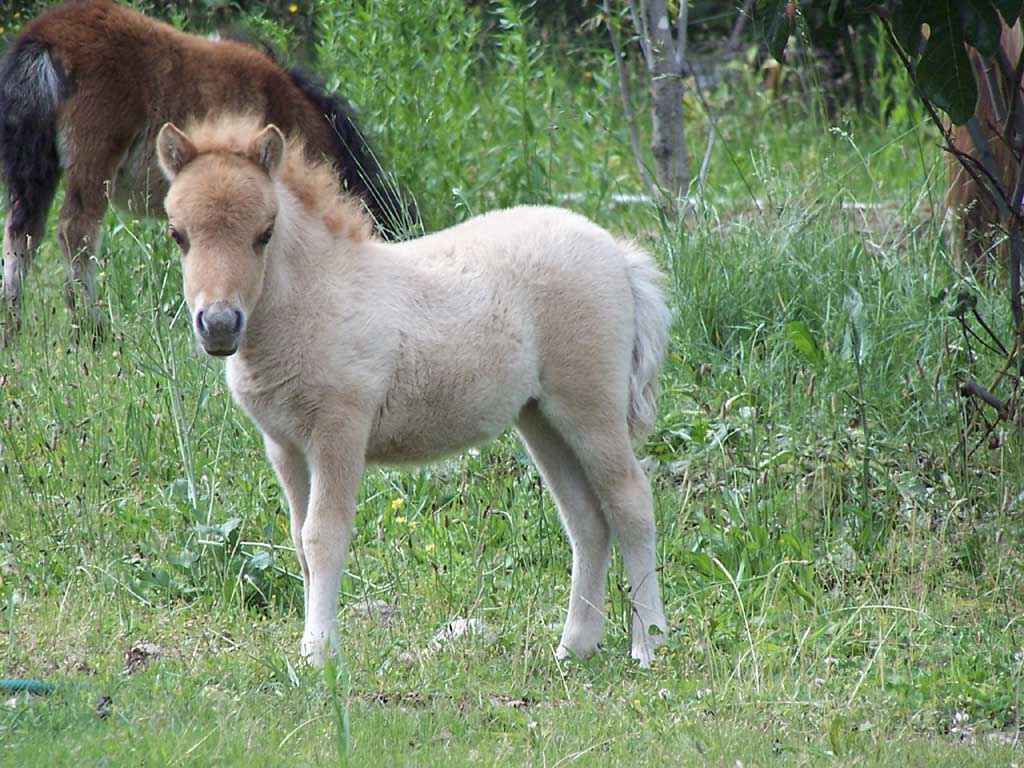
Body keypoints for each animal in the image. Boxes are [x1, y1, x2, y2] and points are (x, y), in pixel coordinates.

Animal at [4, 0, 411, 342]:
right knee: (76, 231)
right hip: (95, 157)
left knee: (22, 234)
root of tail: (45, 36)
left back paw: (12, 329)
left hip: (36, 169)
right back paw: (92, 331)